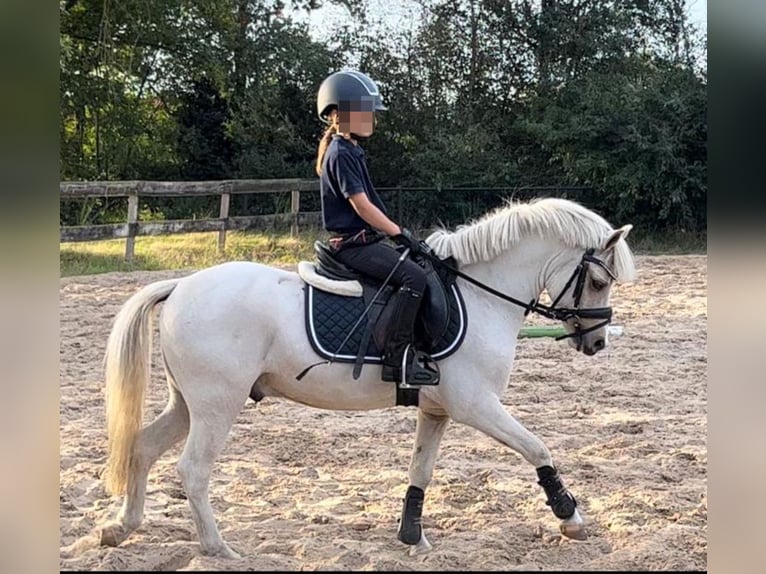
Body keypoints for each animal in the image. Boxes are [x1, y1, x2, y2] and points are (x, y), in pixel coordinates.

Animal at [97, 197, 636, 559]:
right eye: (597, 280)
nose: (596, 343)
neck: (482, 294)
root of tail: (180, 285)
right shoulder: (476, 404)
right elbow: (537, 448)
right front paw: (571, 518)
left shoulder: (438, 409)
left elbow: (421, 469)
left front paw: (412, 535)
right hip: (216, 405)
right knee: (193, 469)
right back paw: (217, 549)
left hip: (188, 403)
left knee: (143, 448)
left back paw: (121, 528)